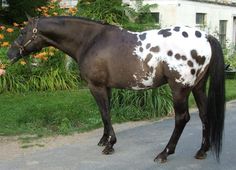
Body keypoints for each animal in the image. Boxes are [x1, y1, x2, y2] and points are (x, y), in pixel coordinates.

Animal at [6, 16, 225, 163]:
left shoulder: (96, 86)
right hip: (198, 87)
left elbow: (104, 112)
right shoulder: (107, 87)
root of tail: (206, 37)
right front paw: (104, 140)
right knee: (204, 115)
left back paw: (164, 153)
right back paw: (202, 150)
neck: (90, 40)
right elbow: (106, 113)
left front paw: (110, 144)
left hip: (179, 89)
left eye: (22, 32)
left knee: (182, 118)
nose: (9, 54)